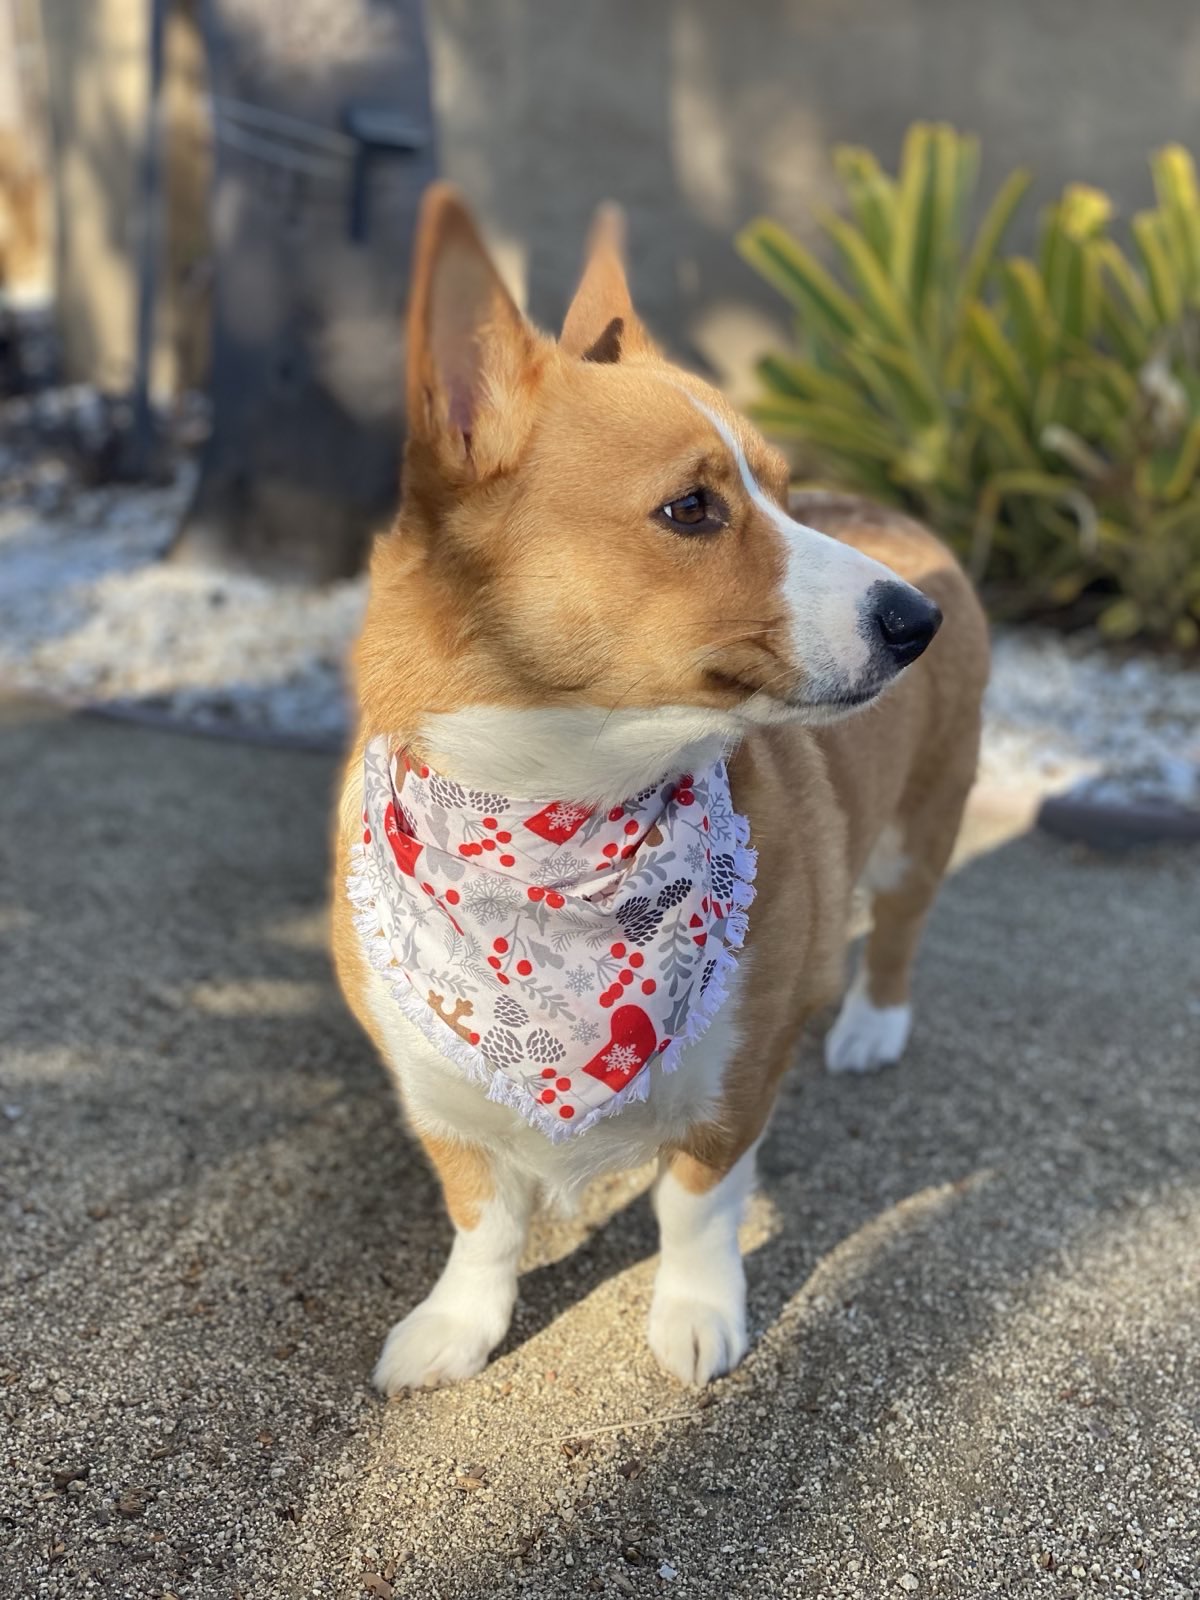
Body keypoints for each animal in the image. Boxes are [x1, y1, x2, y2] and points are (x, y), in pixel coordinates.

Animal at [334, 184, 992, 1388]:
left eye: (784, 493)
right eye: (693, 509)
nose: (914, 622)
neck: (555, 819)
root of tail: (905, 516)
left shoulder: (735, 1083)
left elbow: (696, 1203)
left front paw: (694, 1314)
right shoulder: (438, 1094)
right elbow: (482, 1219)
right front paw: (459, 1325)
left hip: (921, 827)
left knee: (900, 927)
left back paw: (870, 1024)